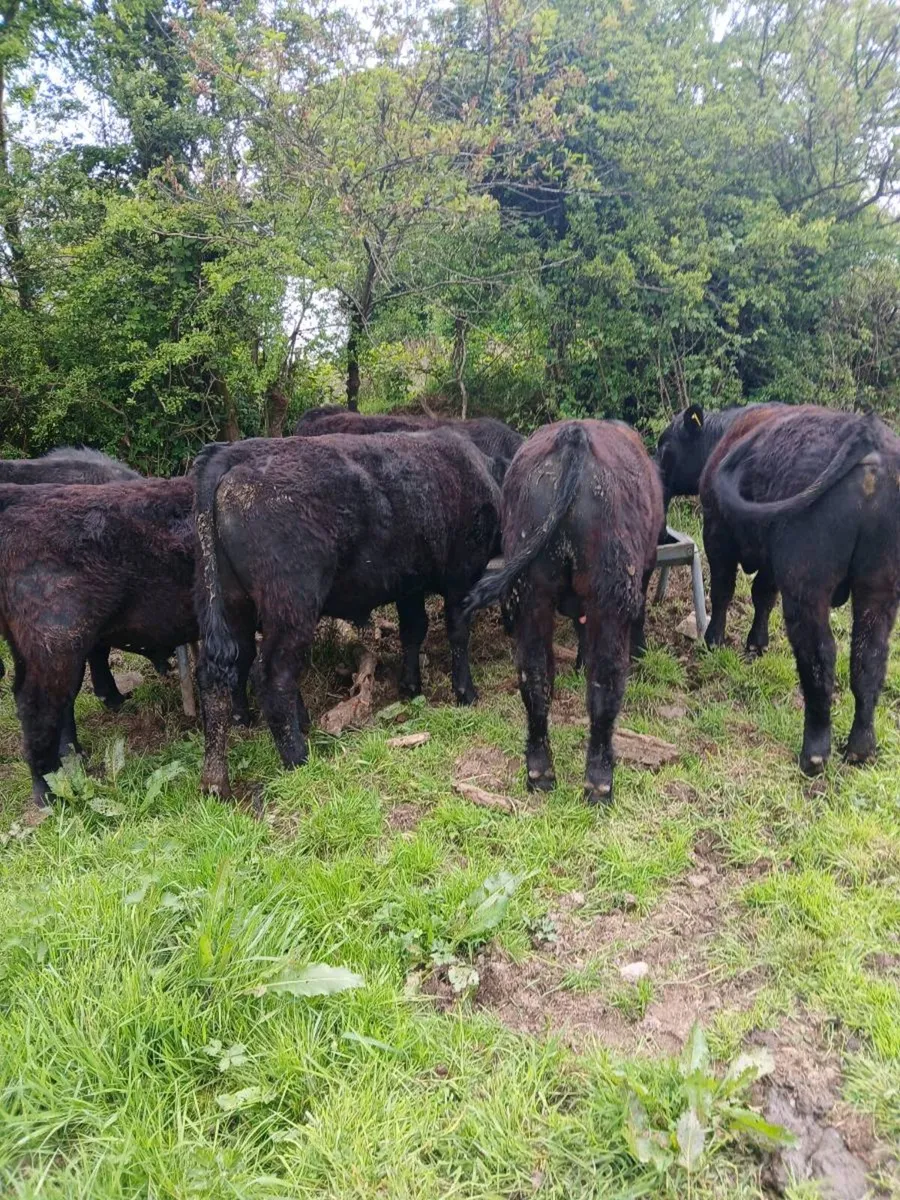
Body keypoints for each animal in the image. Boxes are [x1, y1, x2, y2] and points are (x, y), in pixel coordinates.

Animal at [193, 429, 502, 797]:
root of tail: (231, 454)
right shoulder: (461, 576)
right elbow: (457, 631)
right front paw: (465, 692)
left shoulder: (409, 584)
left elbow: (413, 630)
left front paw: (411, 686)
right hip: (291, 605)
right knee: (271, 675)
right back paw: (298, 758)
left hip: (232, 604)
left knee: (218, 674)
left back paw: (215, 778)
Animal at [463, 420, 664, 806]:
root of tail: (574, 435)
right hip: (609, 593)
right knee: (605, 682)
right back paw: (599, 781)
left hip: (531, 592)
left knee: (535, 674)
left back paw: (540, 770)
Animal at [699, 404, 900, 776]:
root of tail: (869, 434)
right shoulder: (771, 561)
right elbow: (762, 596)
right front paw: (756, 644)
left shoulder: (717, 534)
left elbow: (723, 591)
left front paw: (713, 640)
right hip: (878, 587)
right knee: (869, 657)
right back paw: (861, 747)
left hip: (806, 585)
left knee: (819, 654)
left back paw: (815, 752)